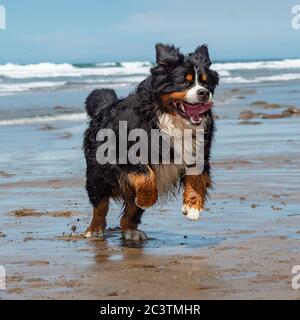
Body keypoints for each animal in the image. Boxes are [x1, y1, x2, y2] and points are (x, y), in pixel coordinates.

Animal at [83, 43, 219, 241]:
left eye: (205, 82)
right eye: (184, 82)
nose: (204, 93)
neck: (169, 119)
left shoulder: (199, 150)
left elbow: (197, 178)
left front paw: (193, 207)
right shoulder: (124, 151)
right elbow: (146, 176)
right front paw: (147, 198)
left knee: (128, 214)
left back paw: (131, 231)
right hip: (98, 175)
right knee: (100, 205)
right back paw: (94, 230)